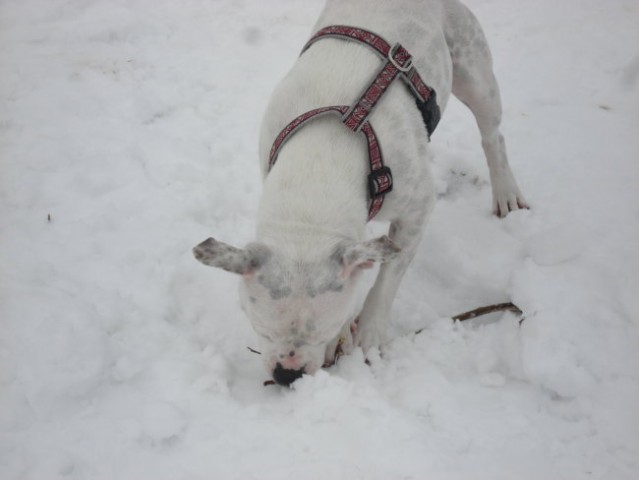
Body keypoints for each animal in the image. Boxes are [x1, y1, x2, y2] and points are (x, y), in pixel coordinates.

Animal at [192, 0, 528, 384]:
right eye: (260, 328)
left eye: (325, 329)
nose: (287, 375)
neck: (319, 167)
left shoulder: (416, 209)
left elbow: (390, 273)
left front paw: (369, 333)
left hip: (474, 73)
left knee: (493, 135)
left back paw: (505, 191)